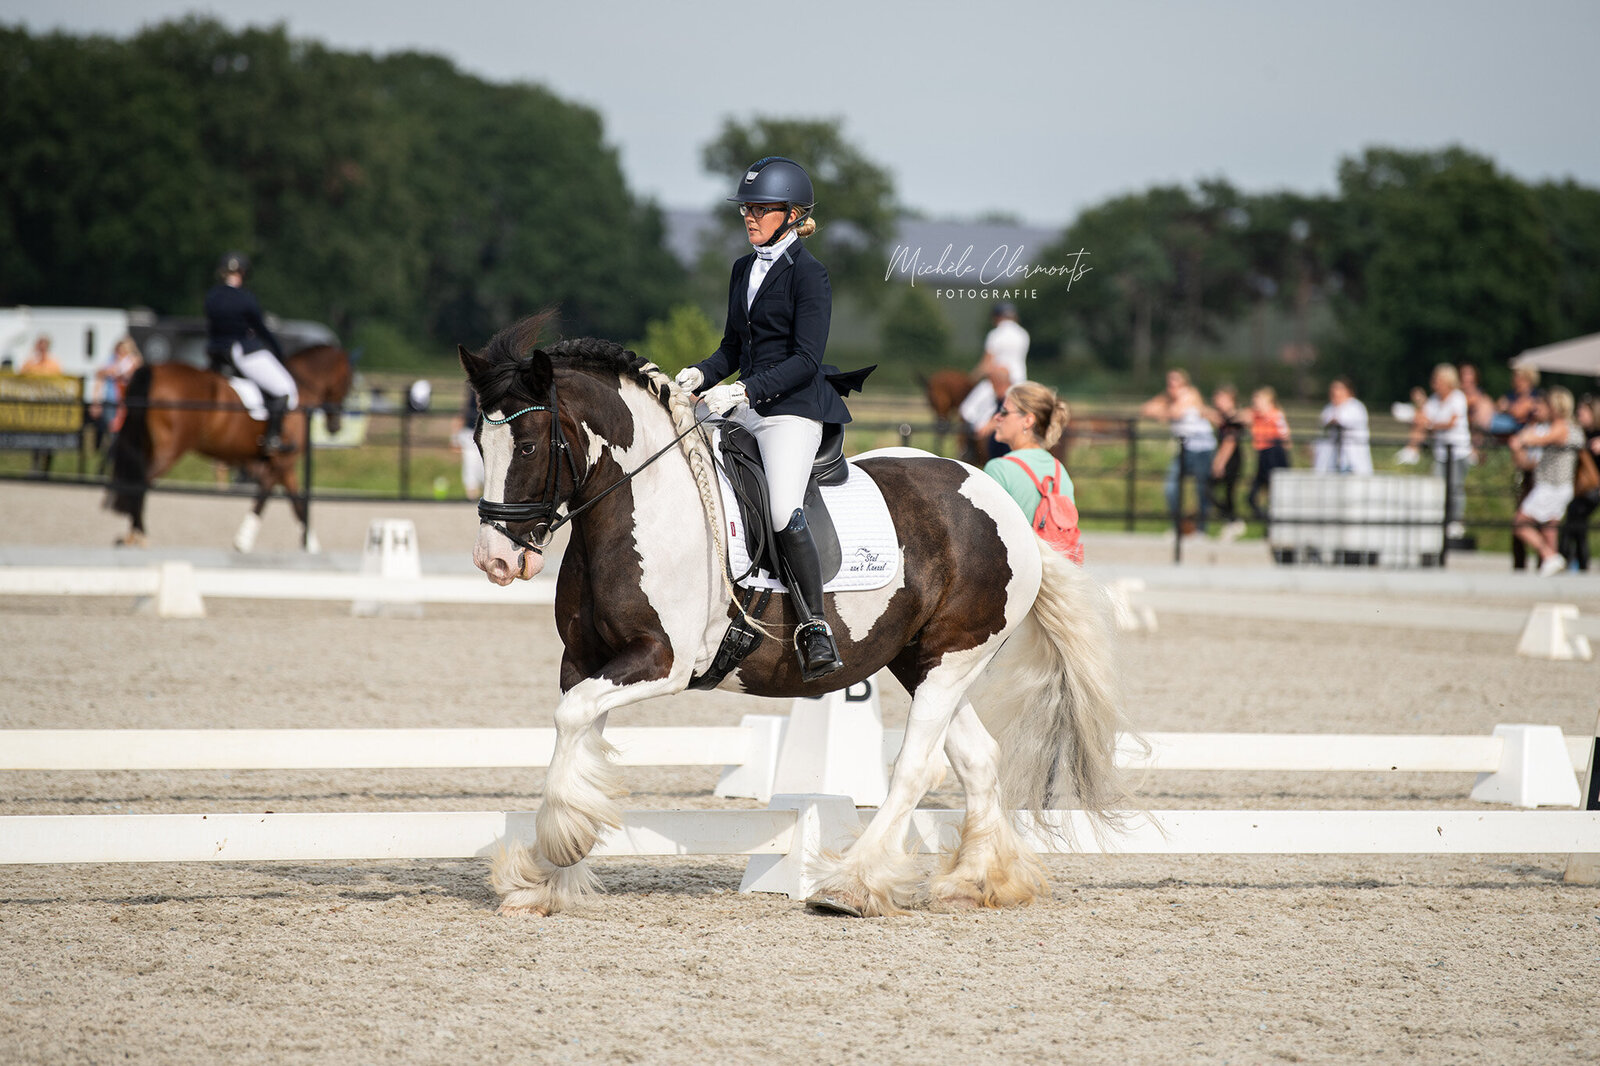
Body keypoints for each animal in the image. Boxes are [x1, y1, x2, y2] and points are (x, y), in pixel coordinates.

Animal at [108, 347, 355, 547]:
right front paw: (243, 540)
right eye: (347, 380)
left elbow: (297, 504)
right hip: (171, 448)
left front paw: (312, 546)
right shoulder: (283, 461)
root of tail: (155, 370)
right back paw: (139, 535)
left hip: (147, 445)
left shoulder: (282, 464)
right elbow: (265, 495)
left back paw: (132, 535)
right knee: (141, 482)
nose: (336, 426)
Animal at [457, 315, 1132, 915]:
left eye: (527, 444)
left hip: (953, 658)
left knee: (918, 768)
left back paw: (852, 885)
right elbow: (575, 740)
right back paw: (976, 882)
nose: (495, 560)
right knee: (978, 759)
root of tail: (1006, 512)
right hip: (924, 661)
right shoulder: (586, 662)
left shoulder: (659, 663)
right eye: (480, 443)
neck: (641, 504)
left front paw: (557, 849)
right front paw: (549, 878)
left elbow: (571, 722)